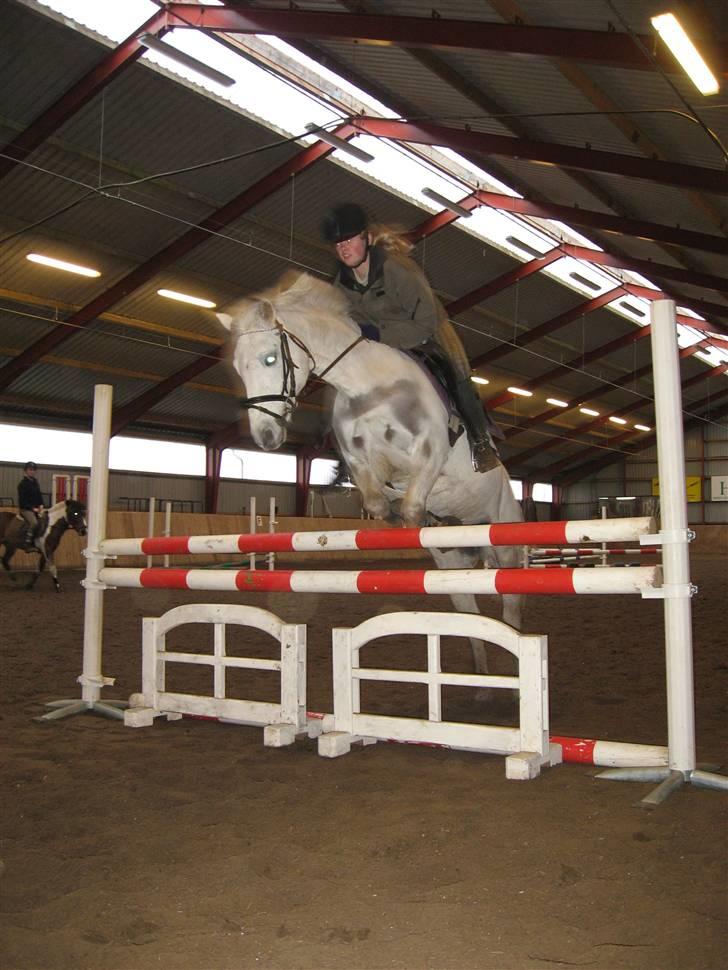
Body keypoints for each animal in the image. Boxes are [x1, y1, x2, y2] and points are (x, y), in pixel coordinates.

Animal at [219, 268, 528, 668]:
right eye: (238, 368)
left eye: (271, 359)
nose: (266, 437)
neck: (366, 384)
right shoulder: (363, 461)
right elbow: (378, 502)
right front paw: (397, 516)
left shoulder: (431, 452)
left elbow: (411, 506)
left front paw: (414, 518)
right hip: (451, 563)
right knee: (470, 614)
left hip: (504, 539)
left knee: (511, 608)